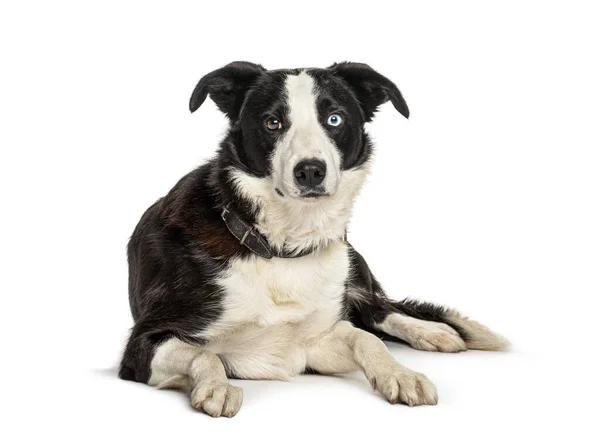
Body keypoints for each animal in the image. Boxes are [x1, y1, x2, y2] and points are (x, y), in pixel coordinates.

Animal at [119, 61, 508, 416]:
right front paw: (216, 386)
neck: (279, 247)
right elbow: (204, 354)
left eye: (334, 119)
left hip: (353, 267)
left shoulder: (312, 341)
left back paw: (432, 332)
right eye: (272, 123)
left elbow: (365, 338)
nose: (309, 171)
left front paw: (400, 374)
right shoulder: (144, 343)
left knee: (379, 309)